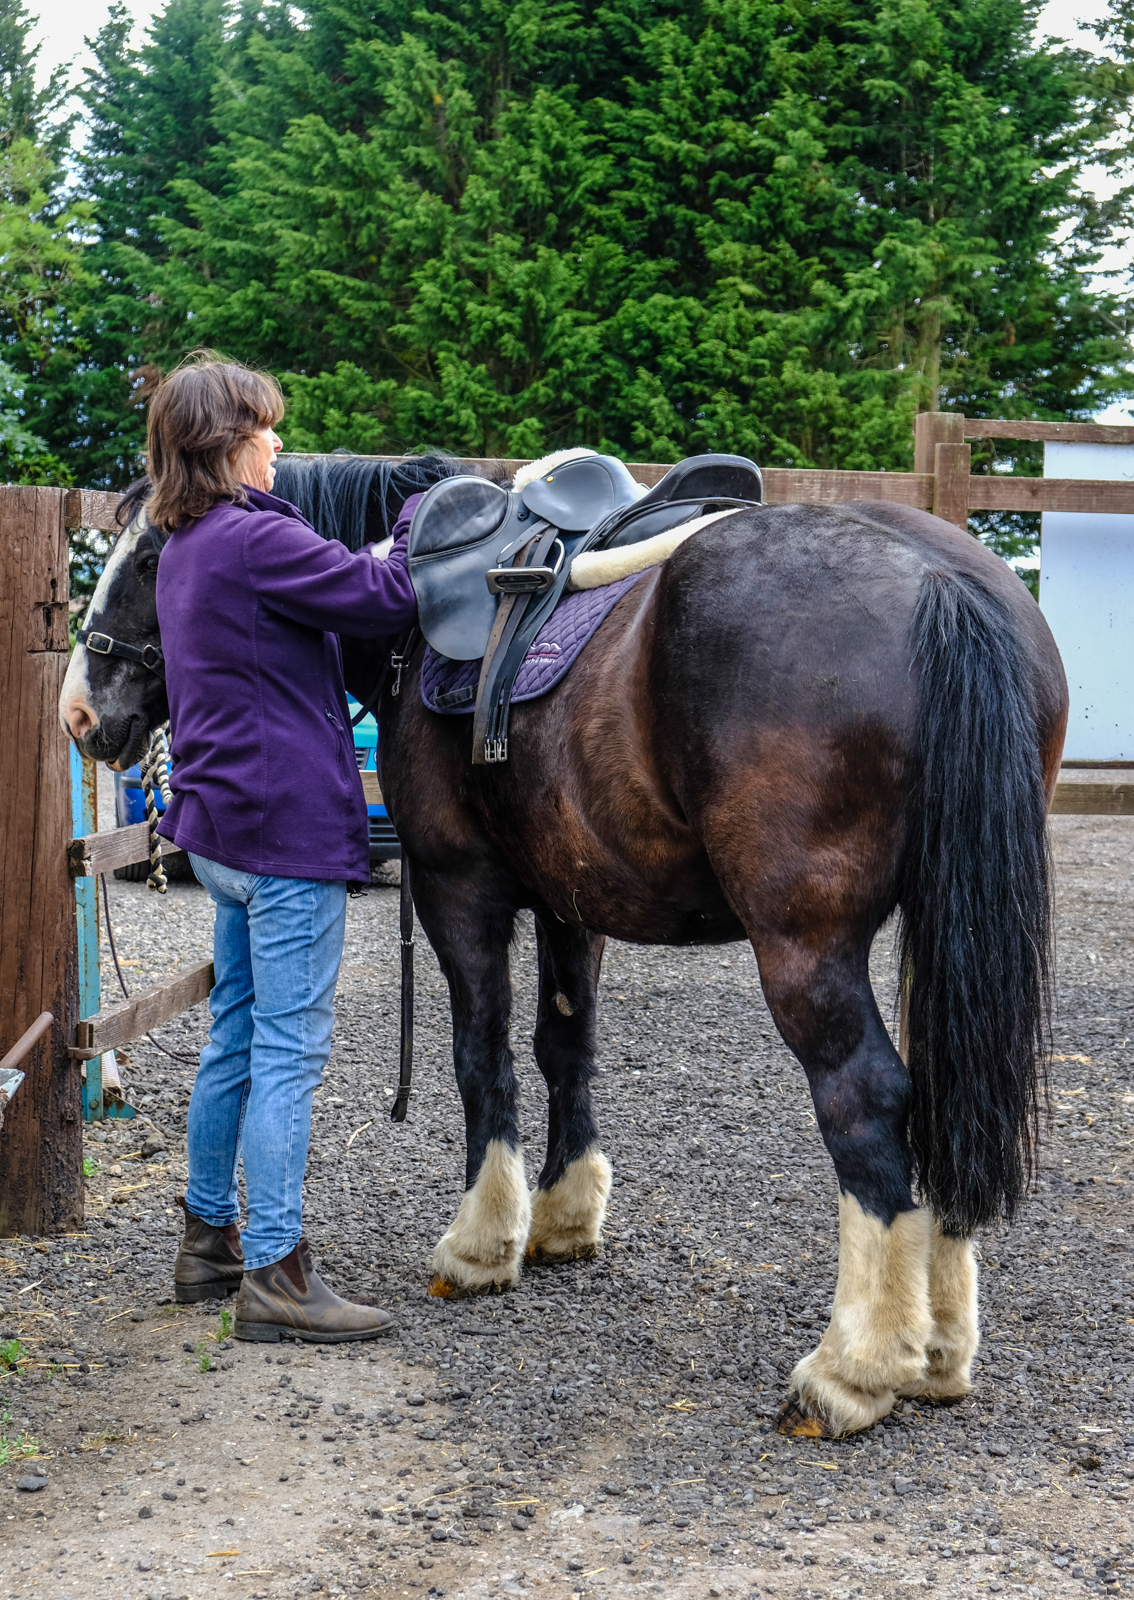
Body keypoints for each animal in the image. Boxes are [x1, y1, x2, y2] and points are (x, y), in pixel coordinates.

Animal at [59, 451, 1068, 1440]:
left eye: (148, 559)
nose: (81, 712)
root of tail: (940, 582)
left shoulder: (460, 889)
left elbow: (482, 1055)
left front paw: (481, 1243)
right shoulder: (570, 899)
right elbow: (564, 1046)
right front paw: (564, 1216)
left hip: (803, 944)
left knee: (867, 1100)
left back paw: (854, 1368)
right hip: (940, 928)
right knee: (942, 1091)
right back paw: (938, 1353)